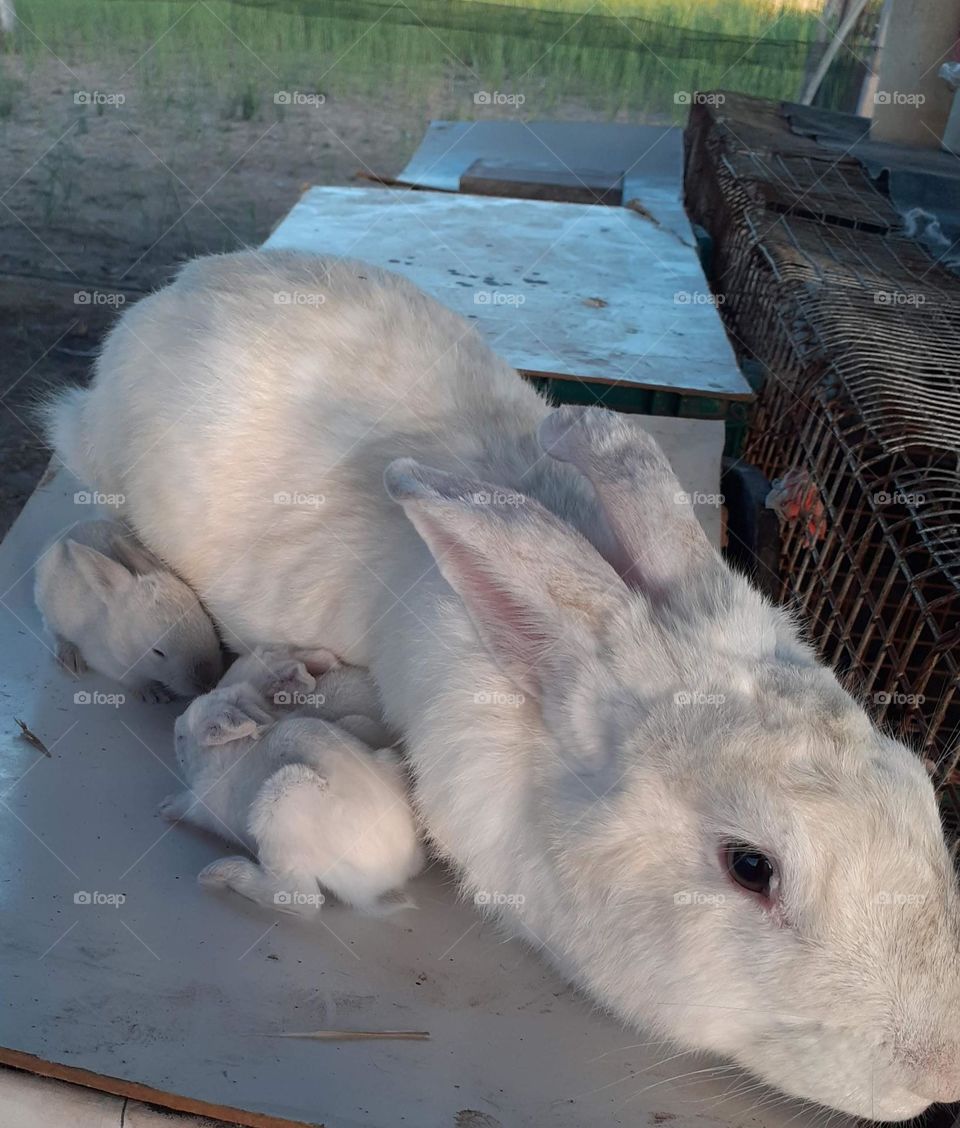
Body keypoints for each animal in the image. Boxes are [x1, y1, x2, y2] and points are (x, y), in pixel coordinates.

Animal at [34, 518, 223, 701]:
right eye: (158, 652)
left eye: (206, 622)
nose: (208, 680)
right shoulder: (109, 664)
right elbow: (135, 680)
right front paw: (153, 693)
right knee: (52, 630)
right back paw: (69, 657)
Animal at [162, 682, 423, 914]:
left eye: (181, 737)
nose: (175, 723)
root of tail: (385, 881)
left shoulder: (202, 802)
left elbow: (187, 806)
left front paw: (166, 806)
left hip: (281, 802)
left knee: (300, 897)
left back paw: (222, 872)